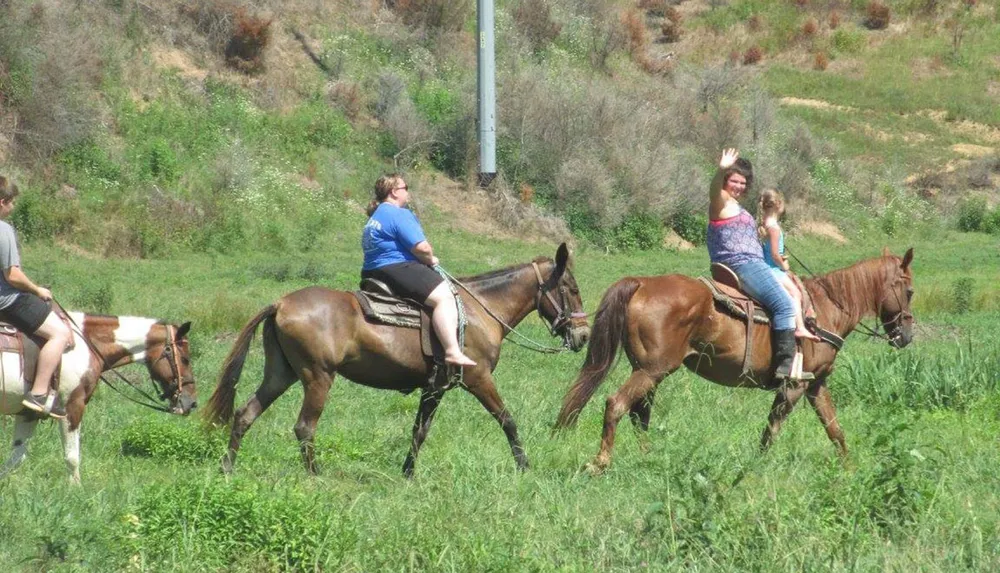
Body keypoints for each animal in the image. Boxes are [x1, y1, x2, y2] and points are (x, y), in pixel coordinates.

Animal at [0, 312, 194, 482]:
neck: (85, 343)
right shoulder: (72, 406)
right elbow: (72, 457)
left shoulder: (28, 414)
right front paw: (75, 489)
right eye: (185, 359)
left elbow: (16, 458)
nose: (191, 403)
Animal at [206, 244, 588, 476]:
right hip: (318, 378)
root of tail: (281, 303)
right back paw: (314, 474)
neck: (479, 311)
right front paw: (524, 466)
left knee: (245, 414)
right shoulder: (478, 380)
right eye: (572, 288)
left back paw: (227, 467)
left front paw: (407, 474)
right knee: (304, 427)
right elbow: (507, 420)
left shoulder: (434, 389)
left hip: (280, 374)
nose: (584, 335)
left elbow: (419, 431)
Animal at [556, 248, 916, 472]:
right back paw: (600, 462)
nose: (907, 335)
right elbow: (772, 429)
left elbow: (834, 429)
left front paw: (849, 467)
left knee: (638, 413)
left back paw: (648, 457)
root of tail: (643, 282)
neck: (826, 309)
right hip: (653, 369)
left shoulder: (816, 385)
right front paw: (758, 465)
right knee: (616, 404)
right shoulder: (794, 386)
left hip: (646, 370)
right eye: (910, 291)